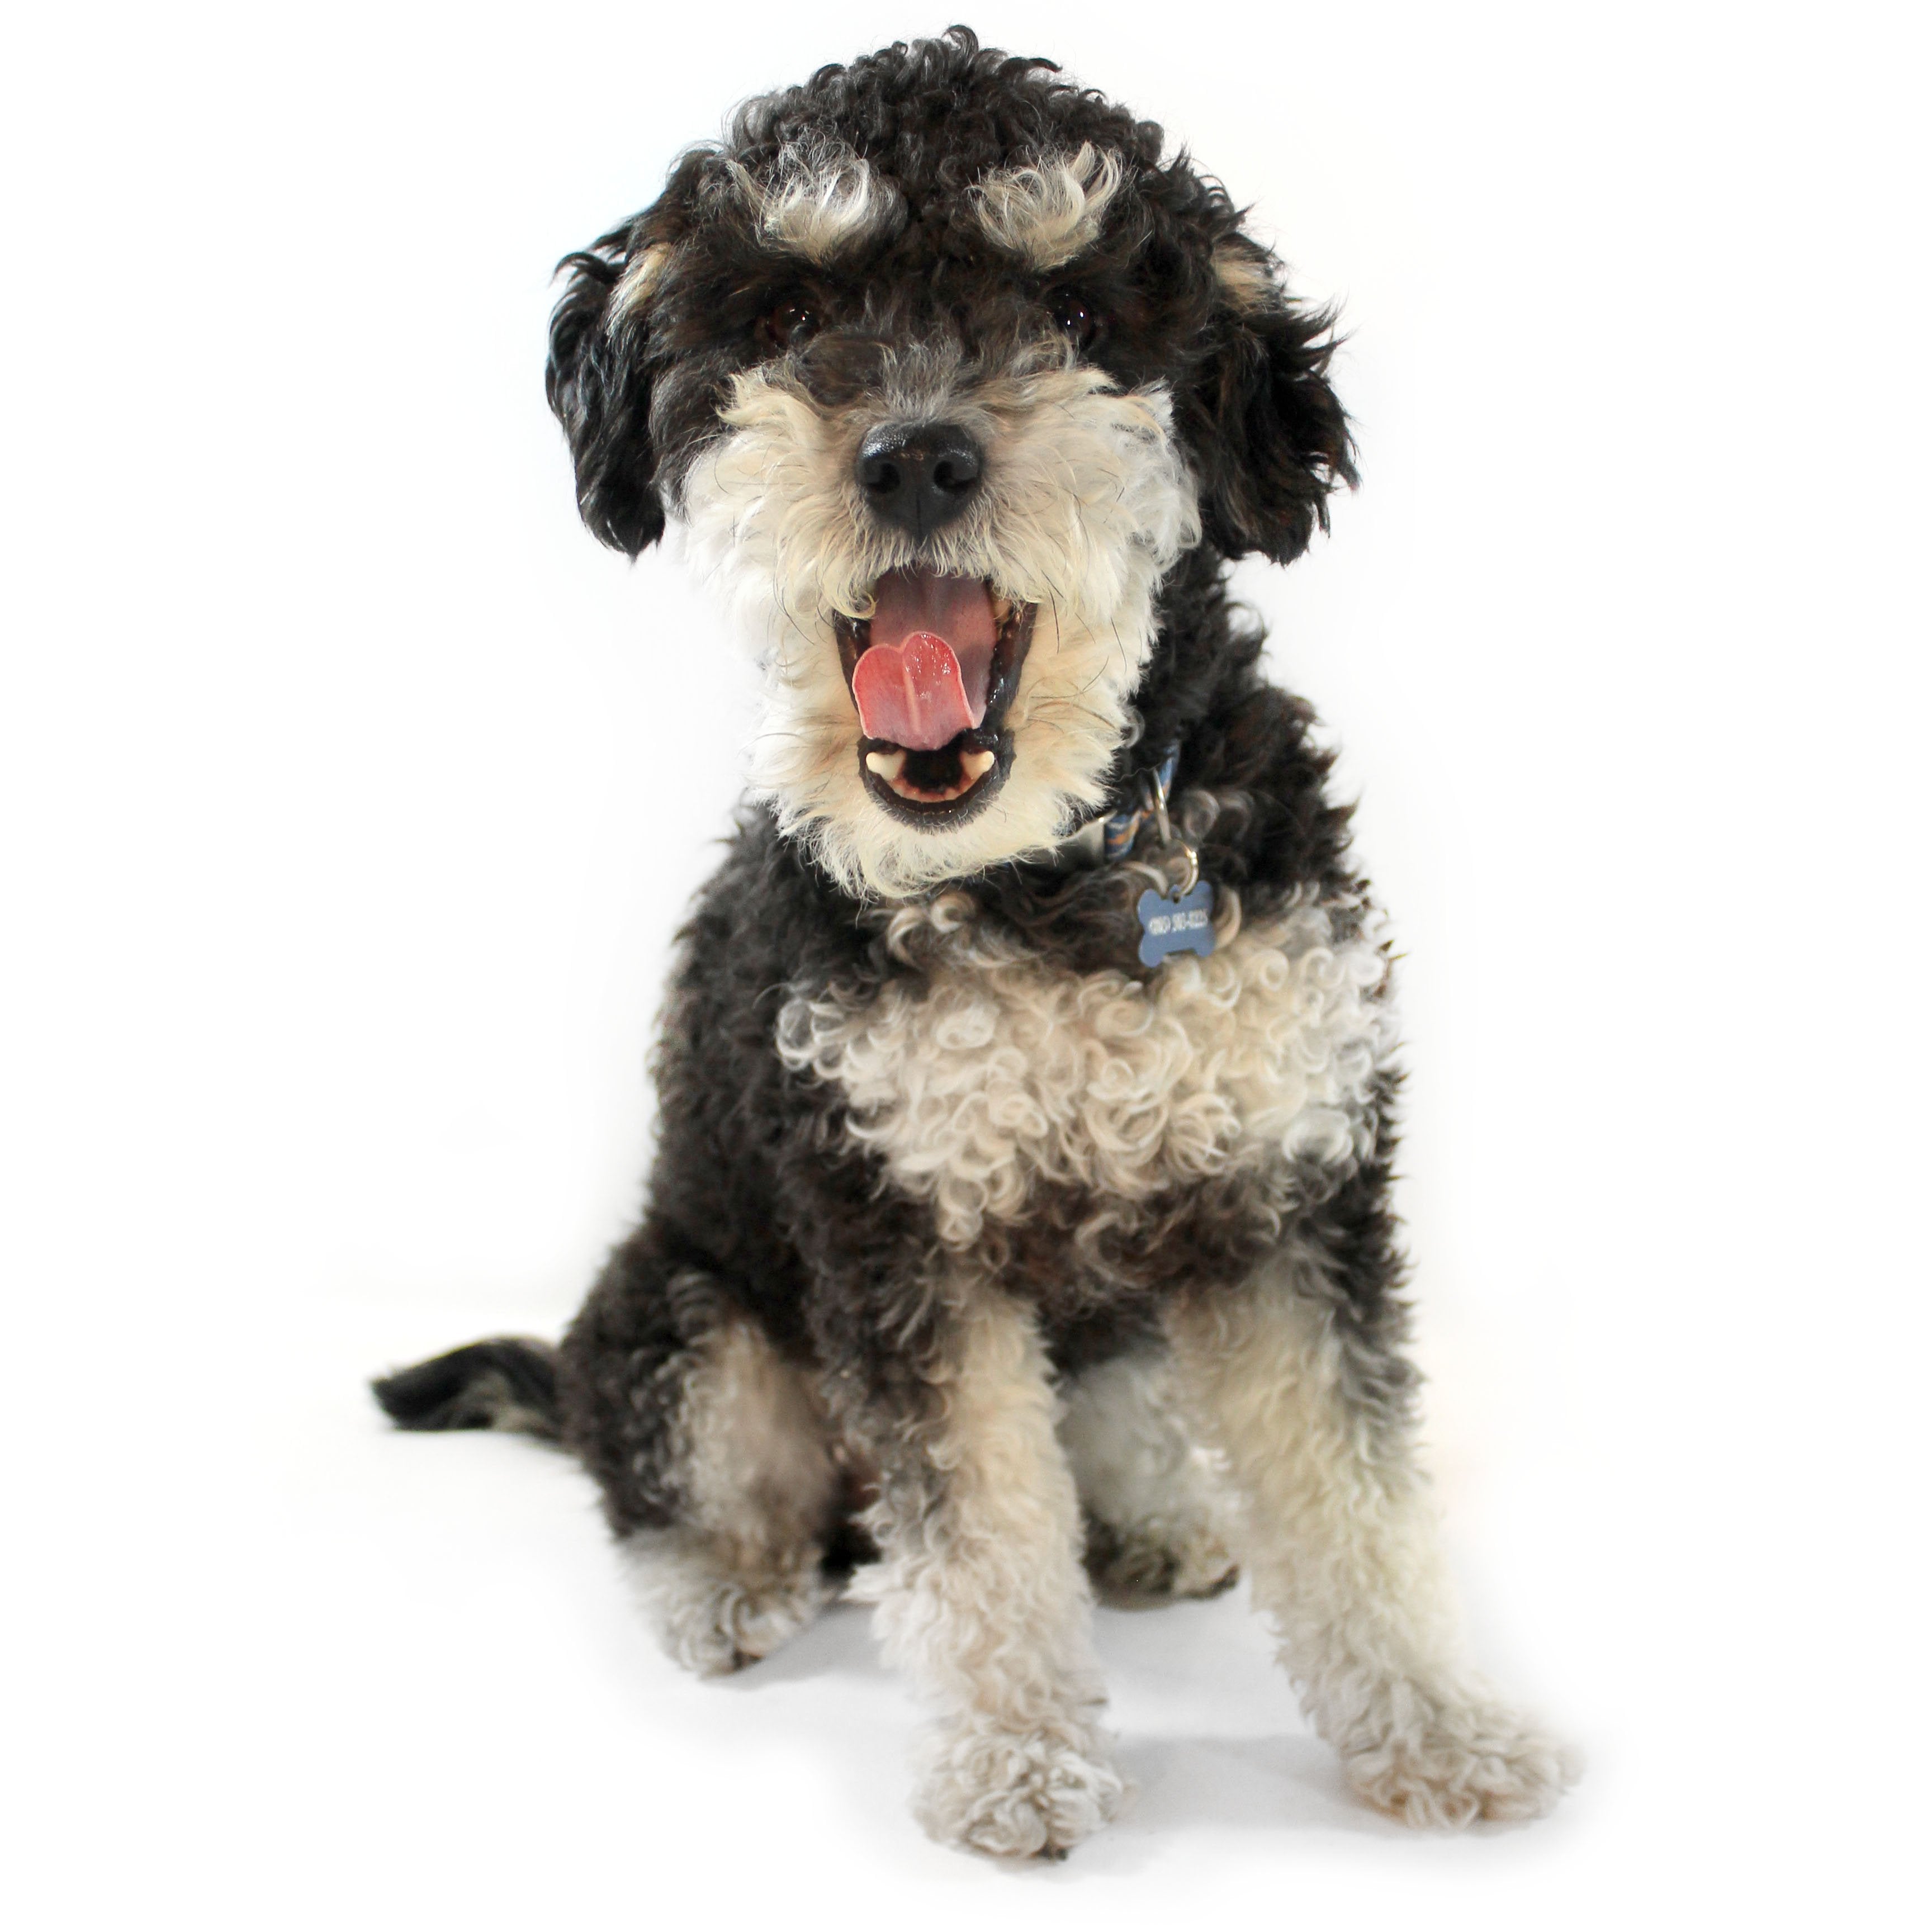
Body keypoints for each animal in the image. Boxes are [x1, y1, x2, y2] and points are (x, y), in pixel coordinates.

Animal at [373, 26, 1569, 1854]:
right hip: (684, 1318)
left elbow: (1352, 1496)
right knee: (675, 1477)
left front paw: (1434, 1728)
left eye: (1074, 308)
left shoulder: (1288, 1198)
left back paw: (1149, 1521)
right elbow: (982, 1531)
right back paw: (723, 1583)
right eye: (791, 309)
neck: (1047, 881)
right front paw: (1016, 1761)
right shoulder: (899, 1240)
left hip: (1131, 1308)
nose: (916, 457)